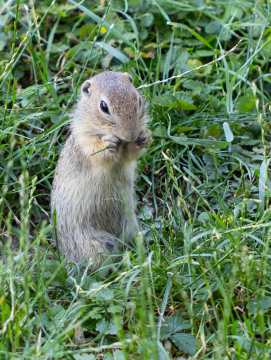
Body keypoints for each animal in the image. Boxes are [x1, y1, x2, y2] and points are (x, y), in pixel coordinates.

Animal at [51, 71, 152, 270]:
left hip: (130, 228)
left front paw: (145, 137)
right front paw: (108, 143)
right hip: (95, 245)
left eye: (137, 99)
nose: (131, 135)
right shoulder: (85, 142)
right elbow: (97, 152)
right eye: (104, 106)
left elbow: (130, 154)